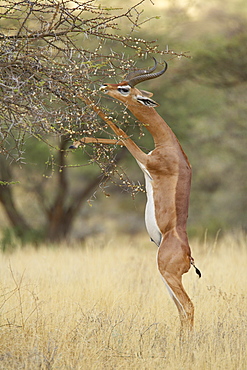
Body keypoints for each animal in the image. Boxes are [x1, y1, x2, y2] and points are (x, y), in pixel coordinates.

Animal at [72, 57, 200, 330]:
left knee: (188, 307)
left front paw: (81, 95)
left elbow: (121, 133)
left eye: (124, 89)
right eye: (120, 82)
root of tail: (189, 256)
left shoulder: (145, 160)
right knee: (180, 310)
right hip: (163, 276)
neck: (169, 145)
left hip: (168, 274)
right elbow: (120, 138)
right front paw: (77, 141)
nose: (104, 86)